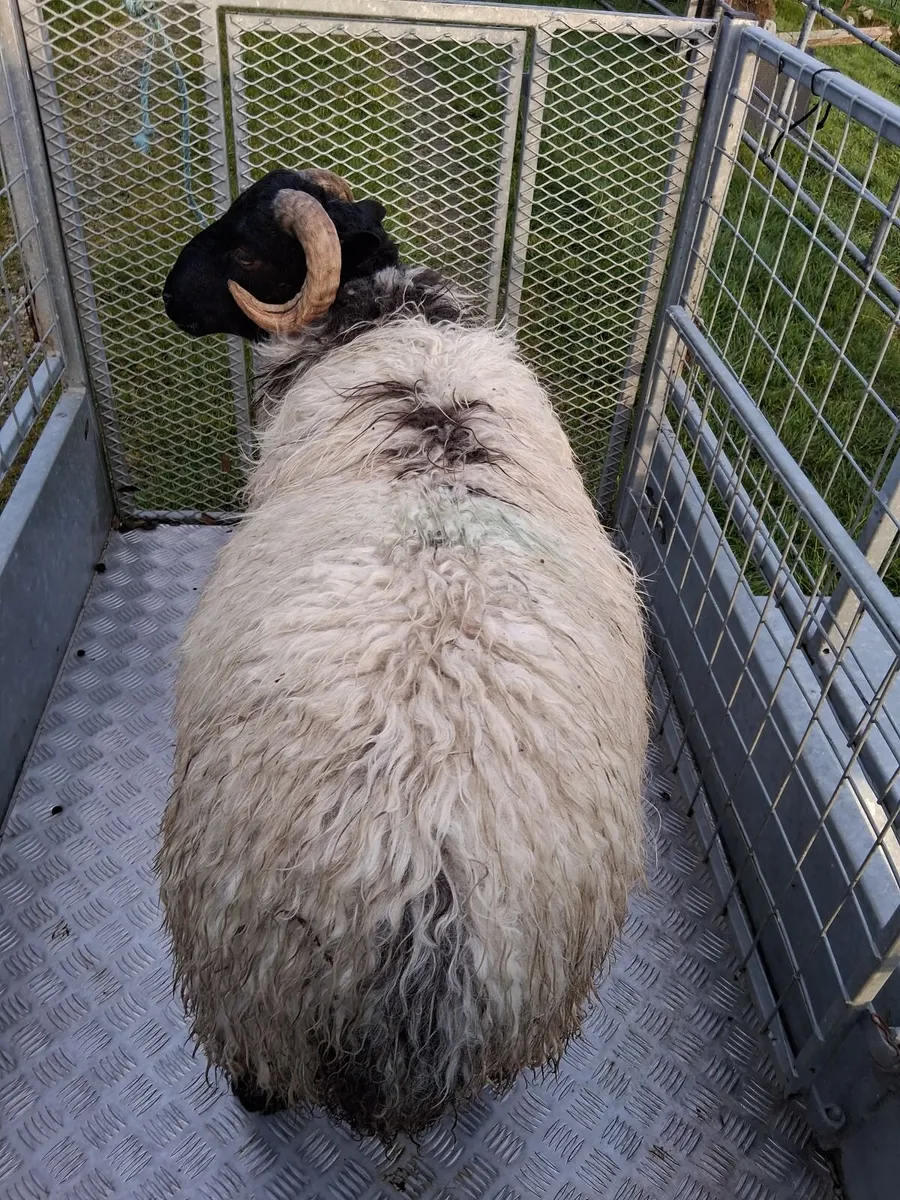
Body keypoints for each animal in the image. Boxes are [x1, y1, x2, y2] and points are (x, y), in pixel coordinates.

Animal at [157, 166, 650, 1140]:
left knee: (256, 1072)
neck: (385, 317)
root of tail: (424, 896)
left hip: (245, 979)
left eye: (244, 248)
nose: (165, 296)